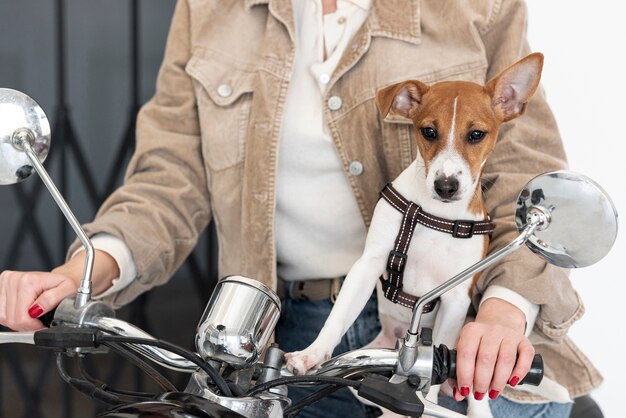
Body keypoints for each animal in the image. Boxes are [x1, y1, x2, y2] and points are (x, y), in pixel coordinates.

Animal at [288, 53, 544, 418]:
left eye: (476, 134)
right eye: (429, 131)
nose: (446, 185)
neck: (437, 216)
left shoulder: (456, 298)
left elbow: (436, 370)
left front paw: (428, 401)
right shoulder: (367, 265)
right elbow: (337, 318)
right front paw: (311, 354)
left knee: (474, 392)